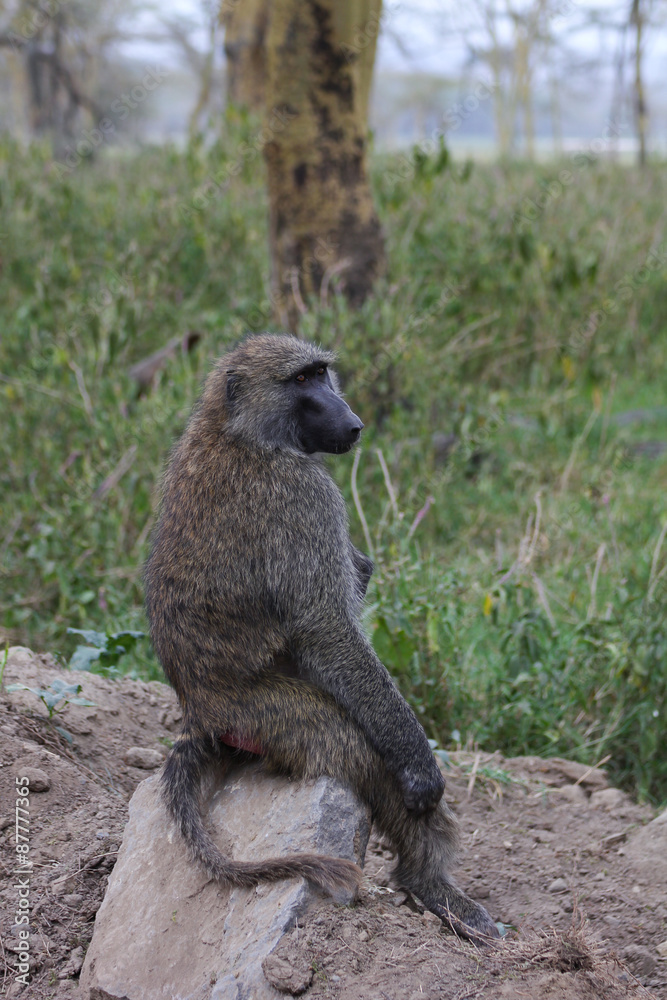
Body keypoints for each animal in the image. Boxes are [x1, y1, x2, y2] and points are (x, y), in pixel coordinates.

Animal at [144, 333, 499, 943]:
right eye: (301, 381)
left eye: (321, 374)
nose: (352, 422)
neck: (235, 429)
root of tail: (198, 710)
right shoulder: (304, 496)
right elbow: (325, 628)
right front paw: (420, 765)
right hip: (271, 715)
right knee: (362, 751)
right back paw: (430, 884)